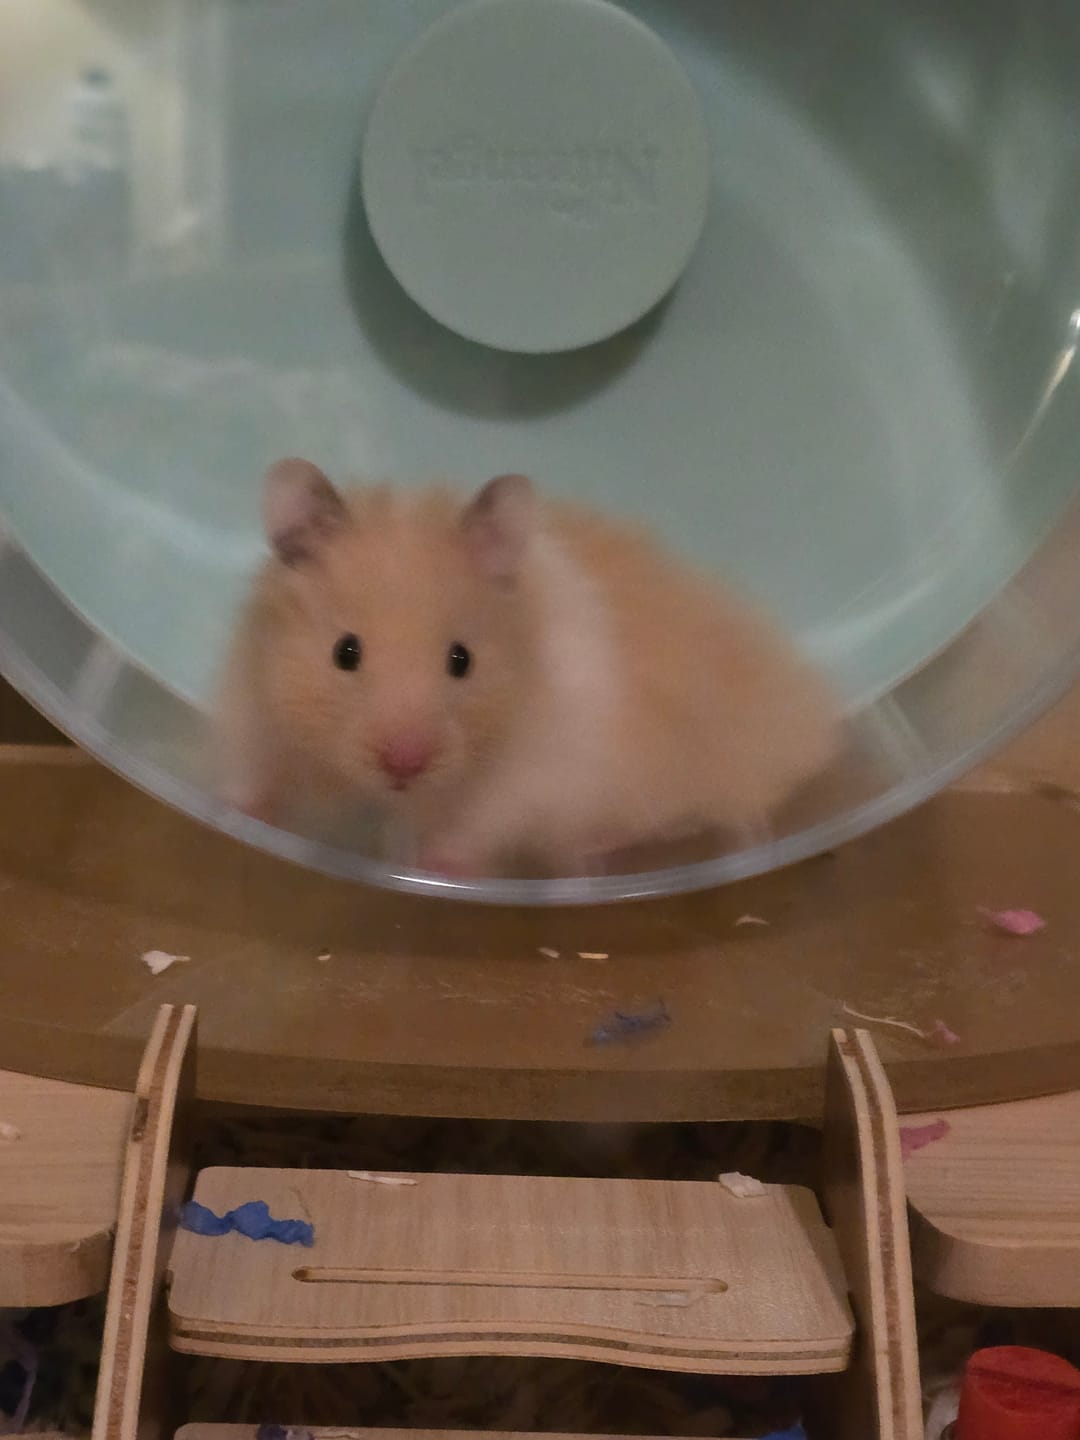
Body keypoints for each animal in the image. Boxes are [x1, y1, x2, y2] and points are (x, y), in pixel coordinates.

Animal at [216, 457, 840, 876]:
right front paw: (240, 813)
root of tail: (813, 724)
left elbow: (475, 826)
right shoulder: (251, 707)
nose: (405, 763)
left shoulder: (521, 782)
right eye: (345, 652)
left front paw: (437, 867)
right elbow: (255, 769)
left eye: (462, 660)